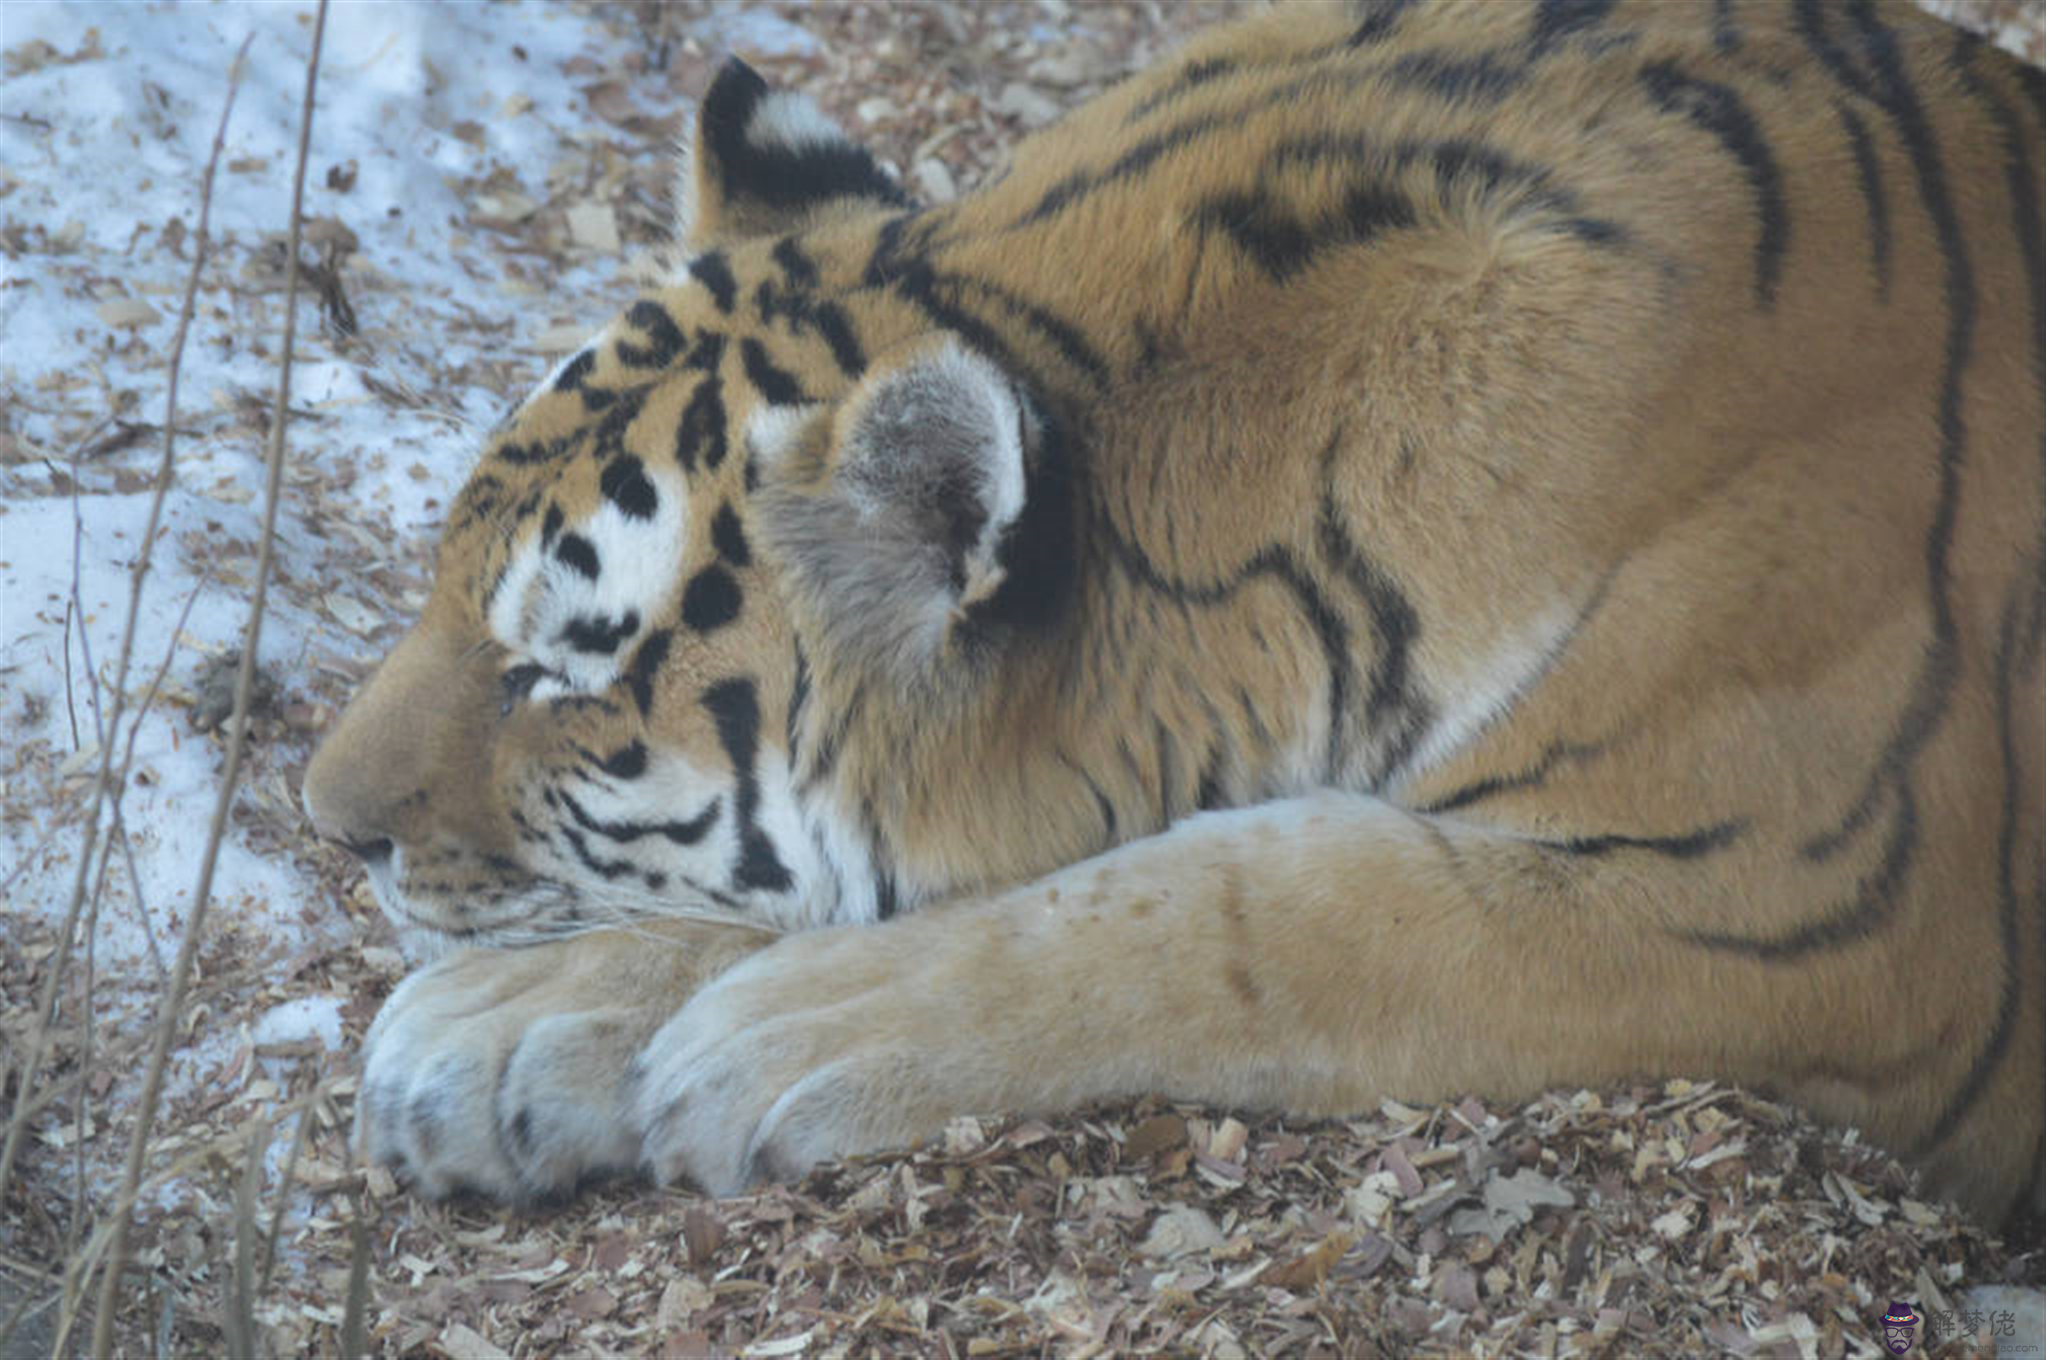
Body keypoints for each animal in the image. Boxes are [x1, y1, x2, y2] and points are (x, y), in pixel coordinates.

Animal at [301, 0, 2045, 1226]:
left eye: (557, 674)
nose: (327, 825)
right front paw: (506, 1030)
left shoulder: (1781, 904)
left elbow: (1249, 901)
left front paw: (774, 1034)